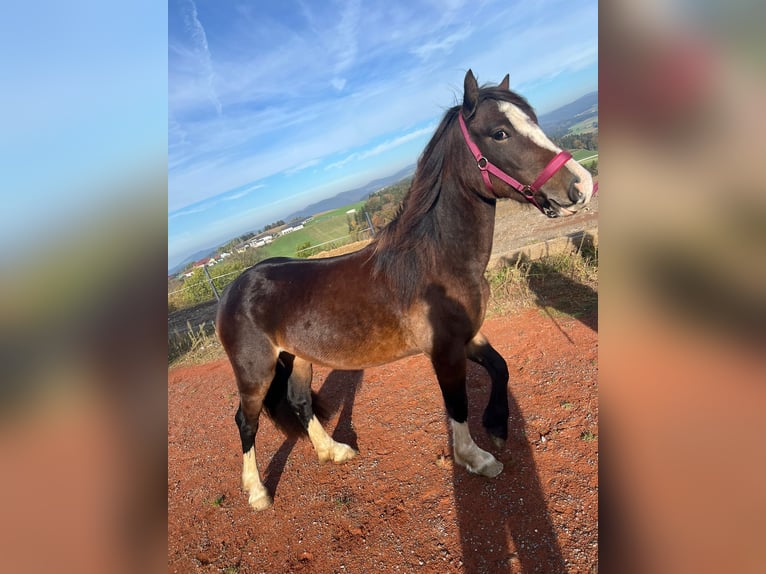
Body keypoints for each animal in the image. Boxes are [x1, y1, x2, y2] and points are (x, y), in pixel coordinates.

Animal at [216, 68, 592, 512]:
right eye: (500, 133)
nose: (581, 185)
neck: (436, 260)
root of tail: (234, 288)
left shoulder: (469, 336)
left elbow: (500, 367)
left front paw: (498, 425)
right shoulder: (445, 350)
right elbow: (457, 403)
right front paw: (476, 458)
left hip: (299, 357)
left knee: (299, 401)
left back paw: (333, 451)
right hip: (255, 371)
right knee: (246, 421)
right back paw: (257, 493)